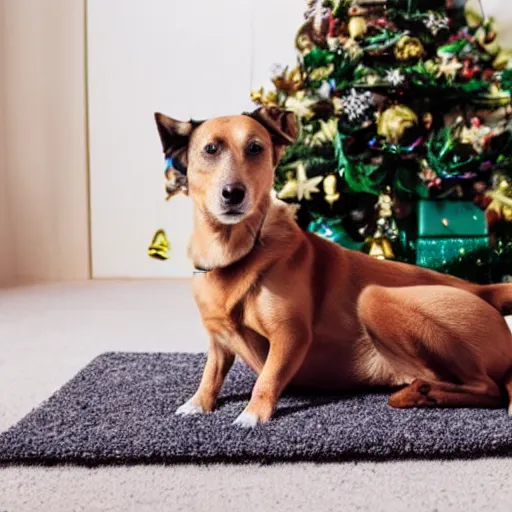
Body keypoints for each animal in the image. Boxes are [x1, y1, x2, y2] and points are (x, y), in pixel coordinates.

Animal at [153, 108, 512, 428]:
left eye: (255, 148)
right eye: (210, 149)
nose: (233, 193)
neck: (233, 252)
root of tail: (483, 289)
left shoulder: (291, 334)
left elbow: (267, 378)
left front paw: (252, 415)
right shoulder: (219, 340)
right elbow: (211, 373)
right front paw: (198, 403)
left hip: (373, 298)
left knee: (490, 387)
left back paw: (423, 394)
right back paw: (422, 392)